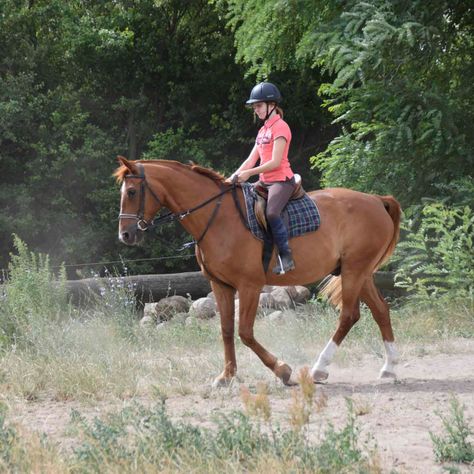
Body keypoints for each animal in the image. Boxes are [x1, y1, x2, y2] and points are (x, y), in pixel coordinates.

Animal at [114, 157, 400, 386]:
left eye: (132, 192)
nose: (125, 235)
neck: (218, 218)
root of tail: (377, 200)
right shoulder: (220, 285)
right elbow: (226, 330)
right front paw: (226, 376)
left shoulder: (249, 286)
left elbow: (245, 333)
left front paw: (283, 371)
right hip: (360, 273)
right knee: (380, 311)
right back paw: (389, 368)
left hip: (354, 271)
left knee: (349, 316)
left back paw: (319, 369)